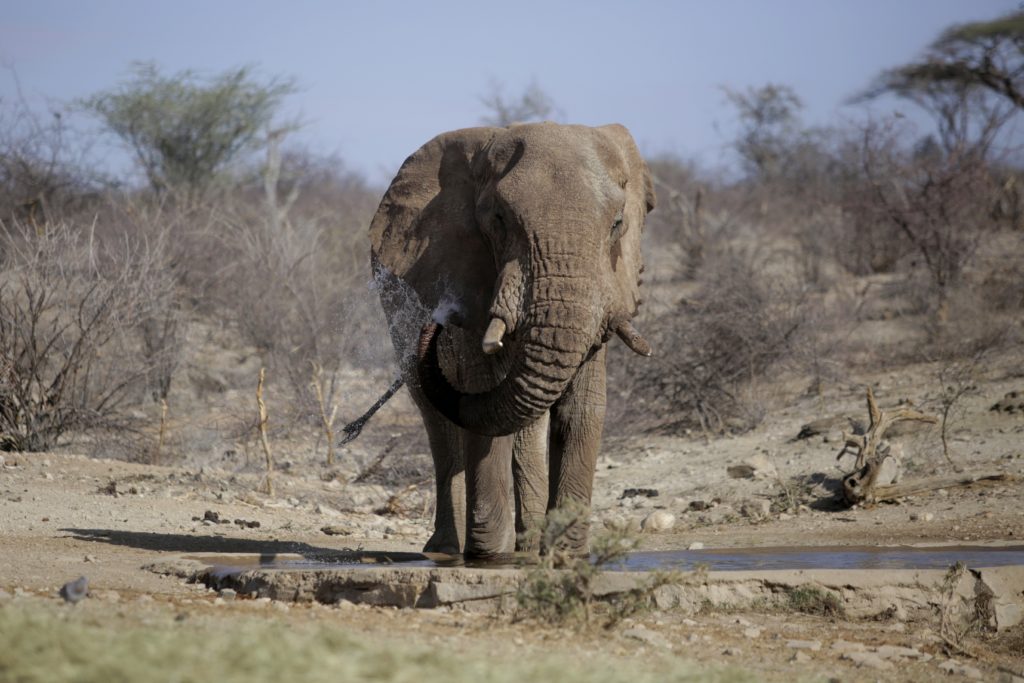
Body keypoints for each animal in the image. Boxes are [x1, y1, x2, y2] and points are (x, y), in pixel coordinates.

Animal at [370, 121, 655, 561]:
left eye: (617, 223)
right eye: (499, 219)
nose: (437, 322)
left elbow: (581, 408)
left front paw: (564, 555)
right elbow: (482, 393)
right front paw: (491, 558)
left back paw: (529, 545)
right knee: (438, 421)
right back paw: (448, 551)